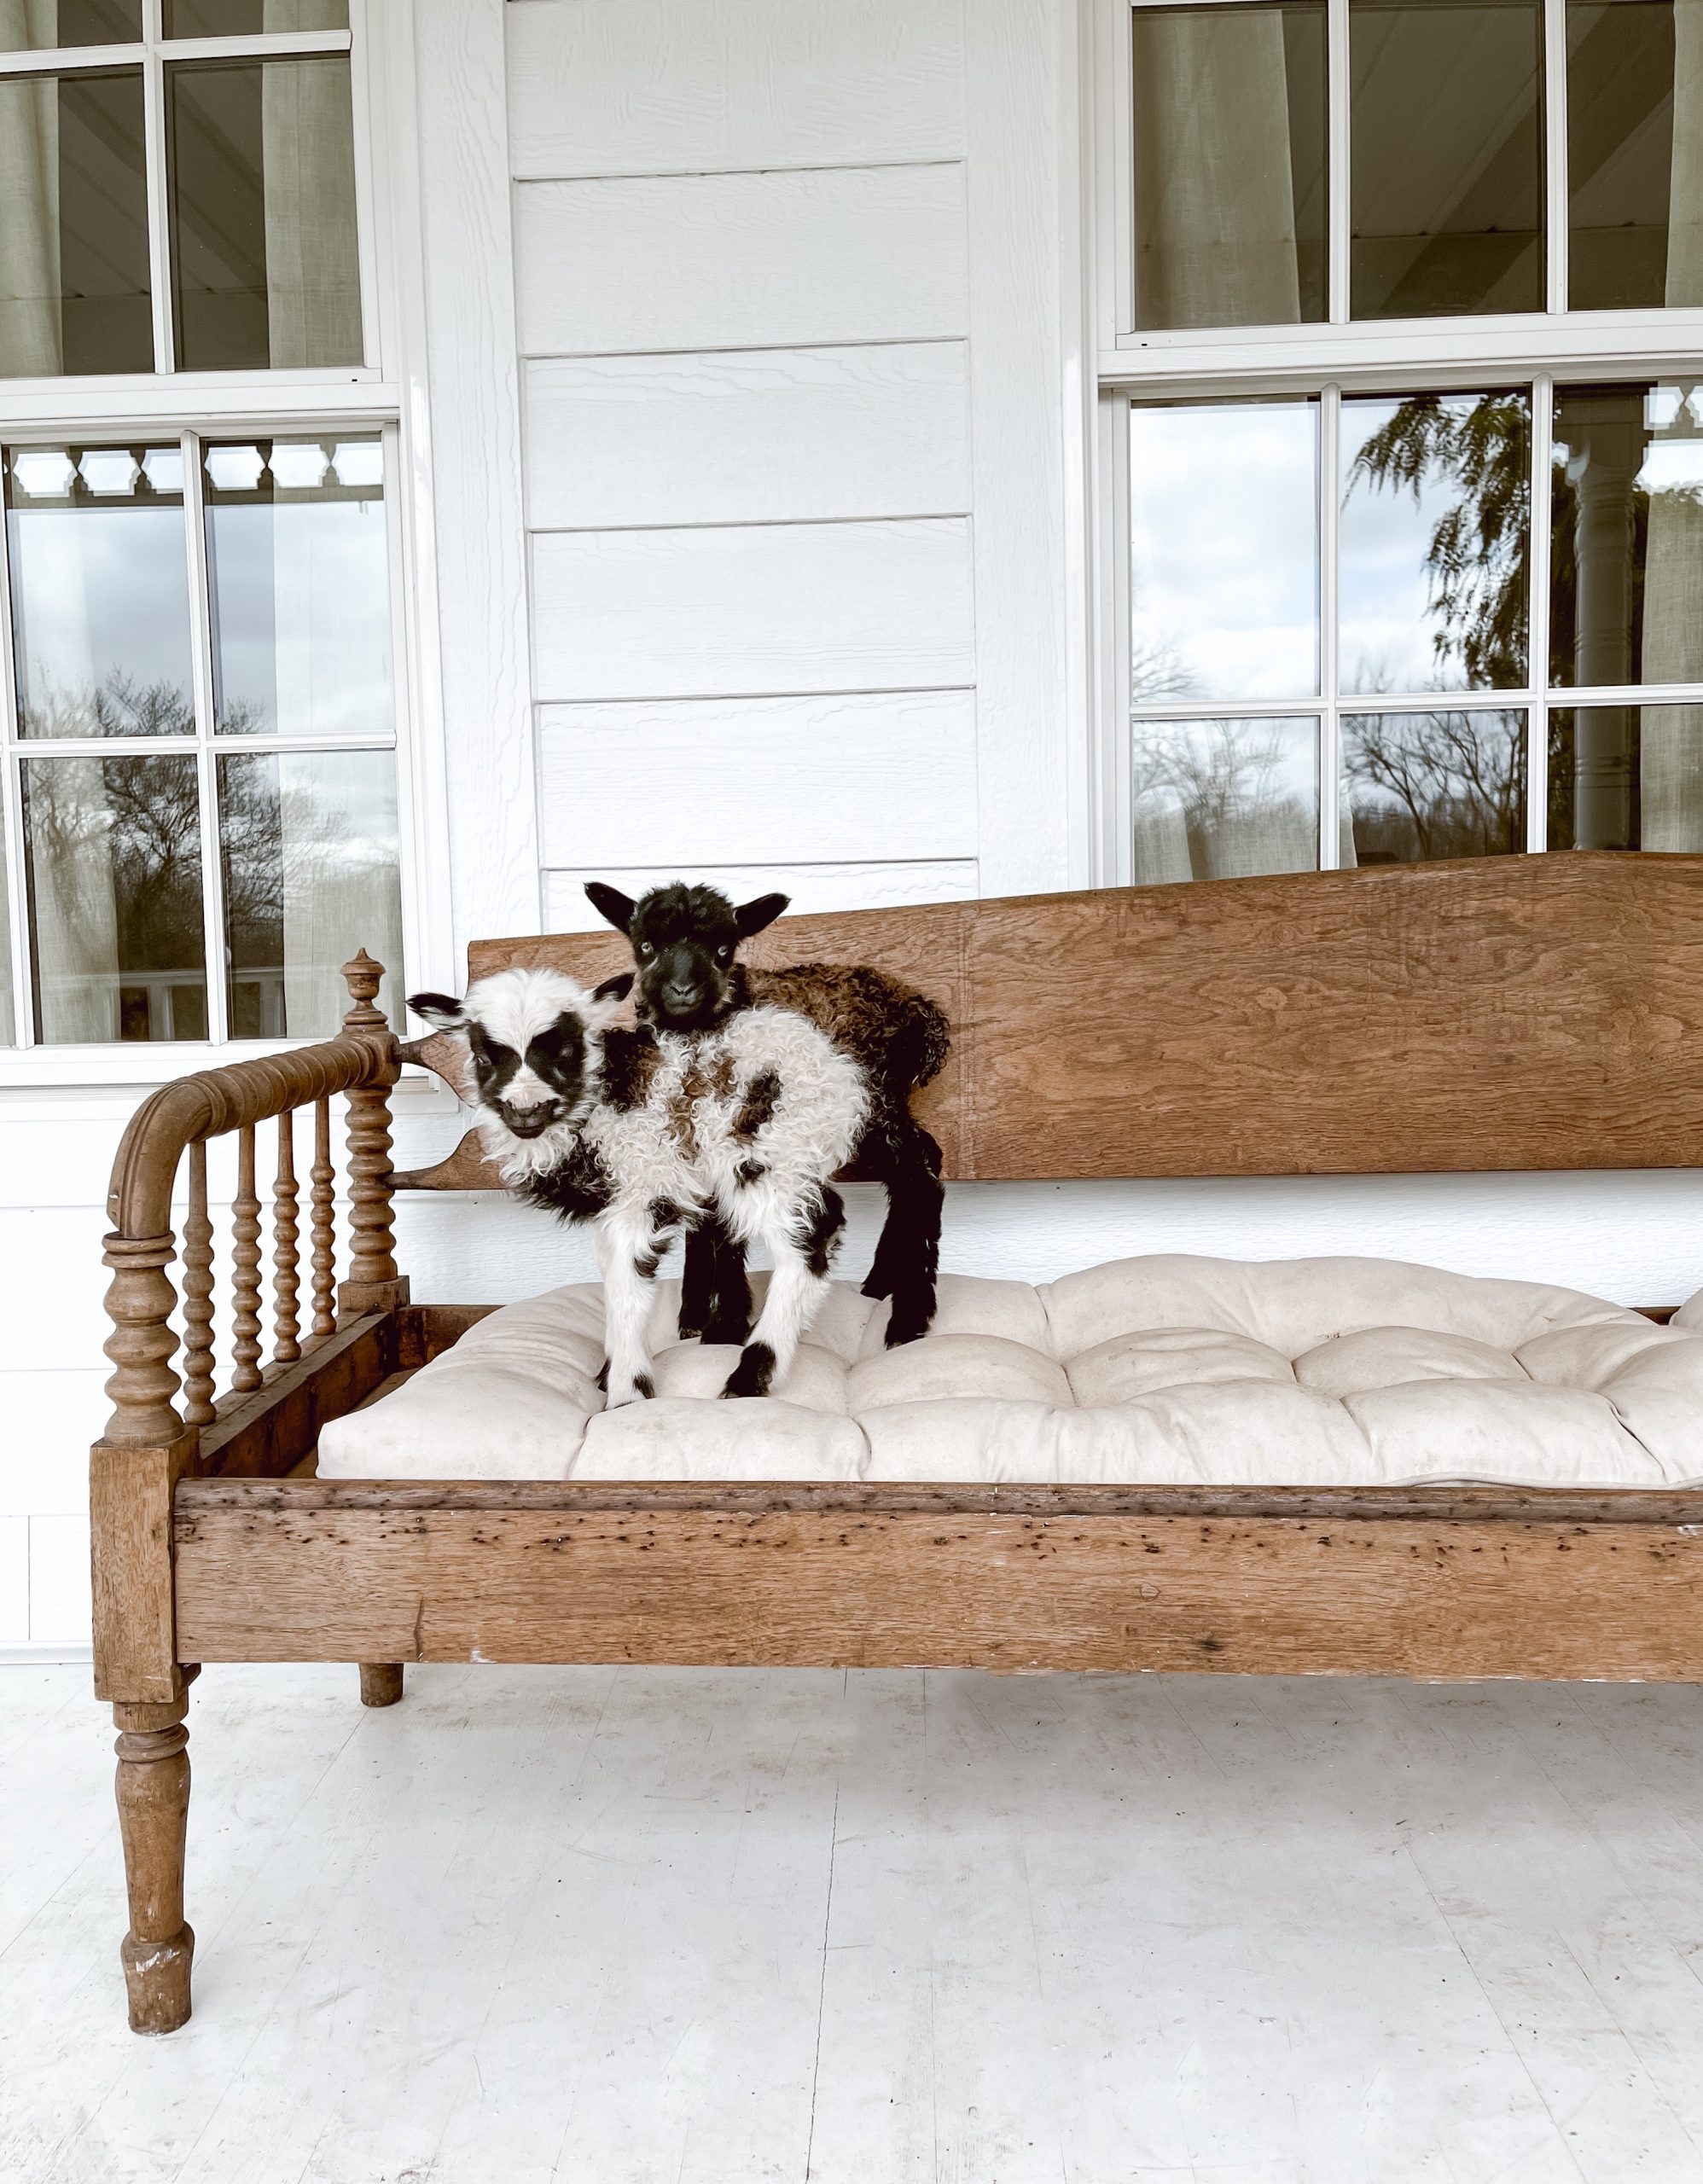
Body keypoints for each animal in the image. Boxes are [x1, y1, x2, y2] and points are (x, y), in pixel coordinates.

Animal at [407, 966, 868, 1406]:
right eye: (484, 1057)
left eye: (566, 1051)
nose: (526, 1111)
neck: (596, 1103)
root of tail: (837, 1072)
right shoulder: (611, 1207)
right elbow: (612, 1281)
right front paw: (610, 1372)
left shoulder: (644, 1190)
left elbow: (627, 1289)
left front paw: (628, 1393)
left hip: (768, 1155)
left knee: (811, 1239)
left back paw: (749, 1377)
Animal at [583, 881, 949, 1350]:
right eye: (646, 946)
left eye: (723, 949)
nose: (683, 991)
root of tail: (921, 1014)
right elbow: (703, 1215)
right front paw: (694, 1315)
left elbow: (723, 1221)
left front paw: (725, 1324)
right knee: (913, 1170)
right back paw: (879, 1283)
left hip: (875, 1098)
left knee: (919, 1174)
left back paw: (908, 1319)